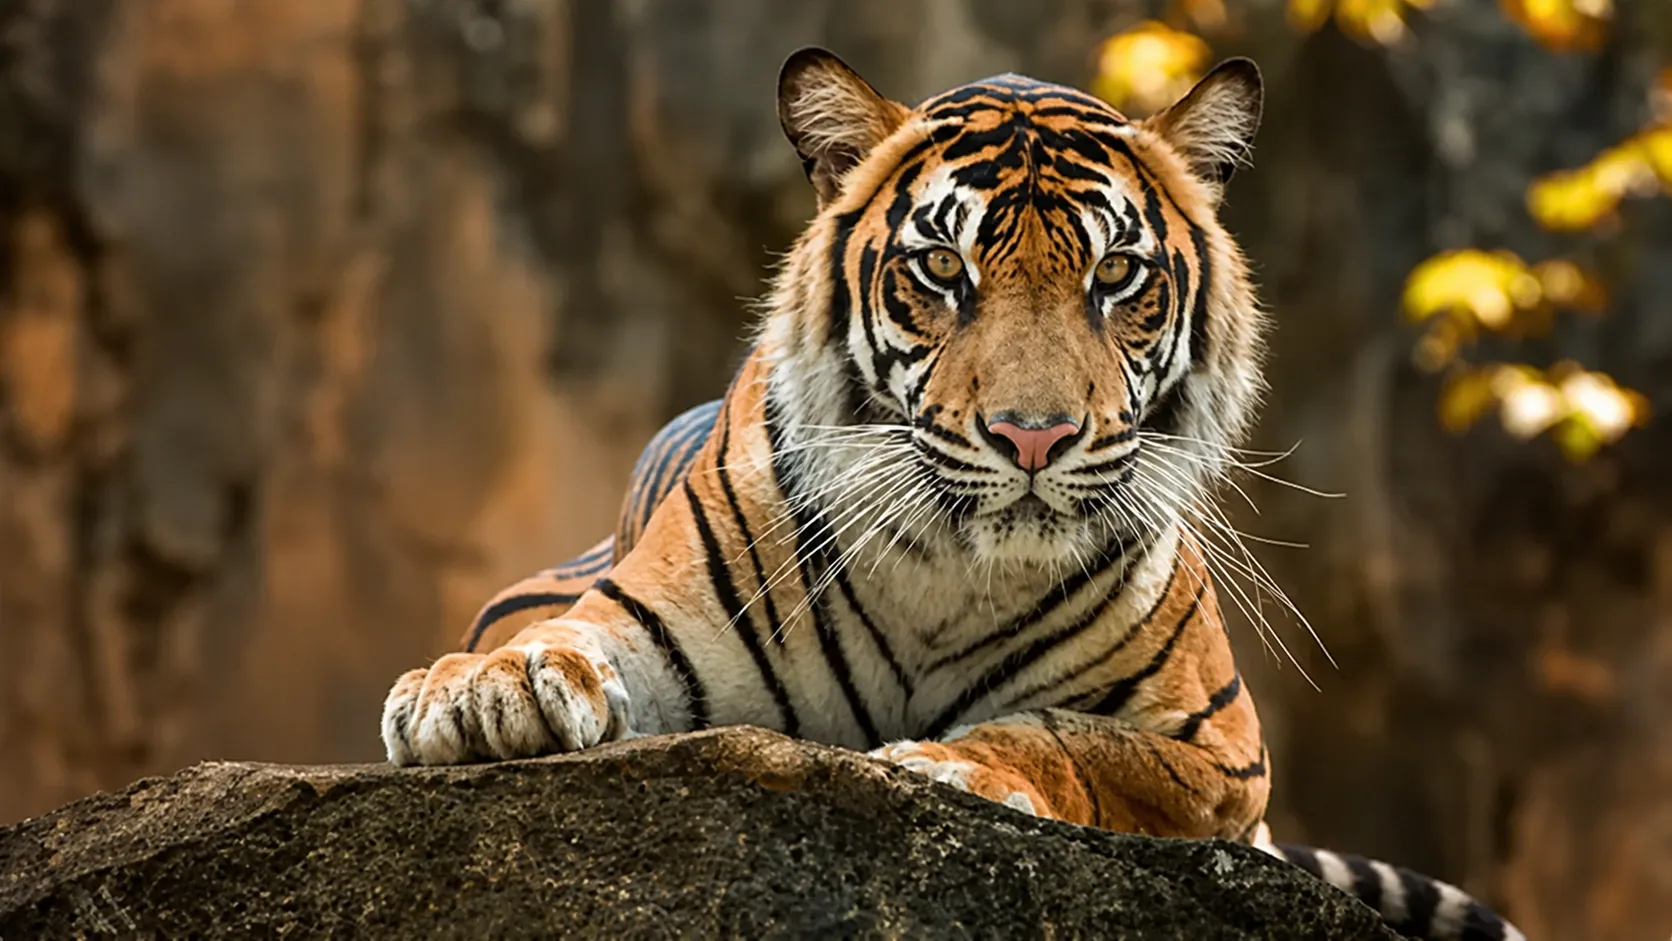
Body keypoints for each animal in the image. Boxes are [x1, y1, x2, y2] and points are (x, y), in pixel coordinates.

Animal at [380, 48, 1526, 941]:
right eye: (941, 268)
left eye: (1116, 275)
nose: (1034, 435)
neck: (950, 570)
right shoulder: (643, 617)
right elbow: (558, 643)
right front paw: (479, 693)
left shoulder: (1221, 749)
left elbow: (1071, 738)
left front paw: (947, 767)